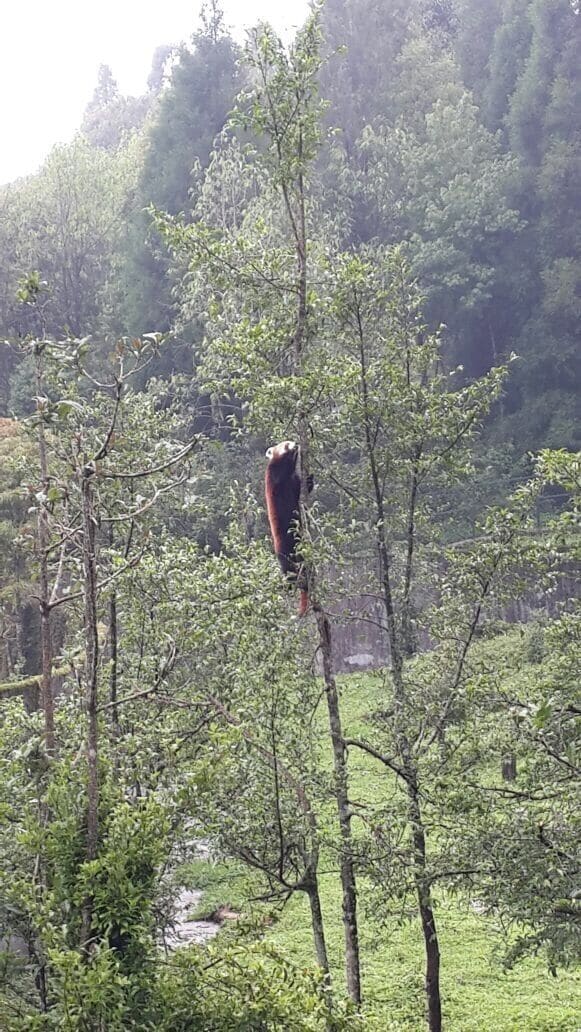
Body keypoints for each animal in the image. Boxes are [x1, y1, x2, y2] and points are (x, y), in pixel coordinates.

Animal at [264, 440, 313, 616]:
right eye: (286, 444)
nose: (295, 444)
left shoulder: (295, 481)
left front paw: (310, 481)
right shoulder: (276, 478)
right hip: (285, 551)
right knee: (289, 571)